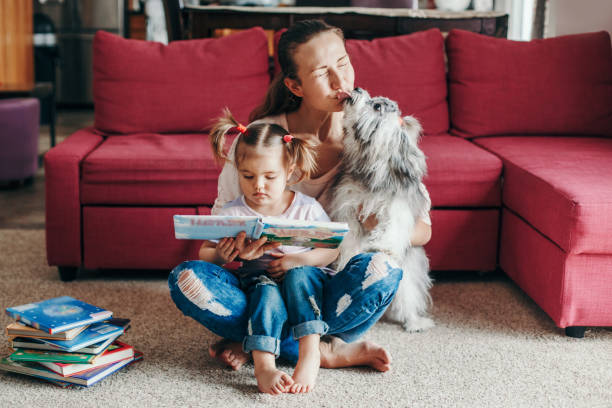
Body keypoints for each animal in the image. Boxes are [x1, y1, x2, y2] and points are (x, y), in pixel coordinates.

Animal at [330, 88, 436, 332]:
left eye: (376, 106)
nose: (357, 89)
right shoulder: (349, 205)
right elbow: (351, 234)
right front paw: (348, 253)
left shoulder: (398, 208)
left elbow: (393, 228)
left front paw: (382, 246)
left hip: (407, 282)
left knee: (408, 301)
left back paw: (414, 322)